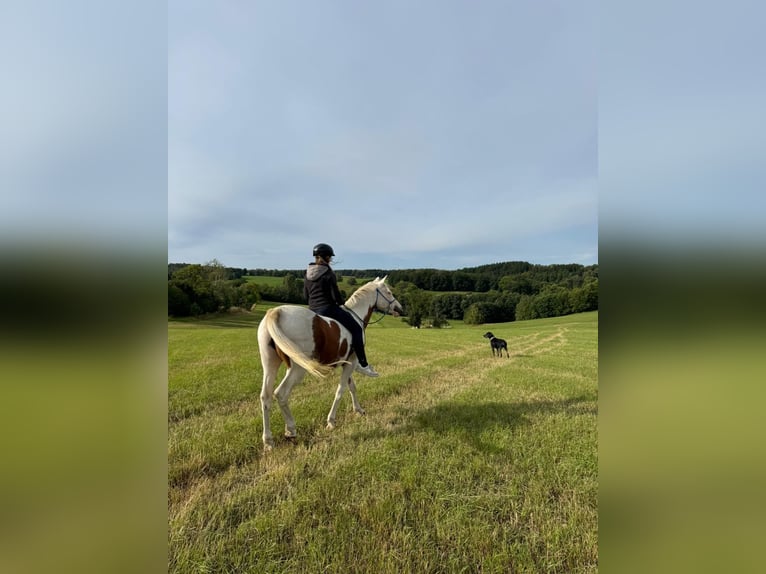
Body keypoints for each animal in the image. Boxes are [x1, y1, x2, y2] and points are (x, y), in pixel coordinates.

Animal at [257, 276, 403, 451]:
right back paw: (291, 430)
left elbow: (352, 387)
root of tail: (276, 312)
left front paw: (358, 410)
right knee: (281, 393)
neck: (357, 316)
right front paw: (331, 421)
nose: (399, 308)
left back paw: (268, 441)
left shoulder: (347, 363)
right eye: (388, 292)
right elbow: (341, 390)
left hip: (270, 365)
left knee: (266, 397)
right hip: (297, 369)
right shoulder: (352, 362)